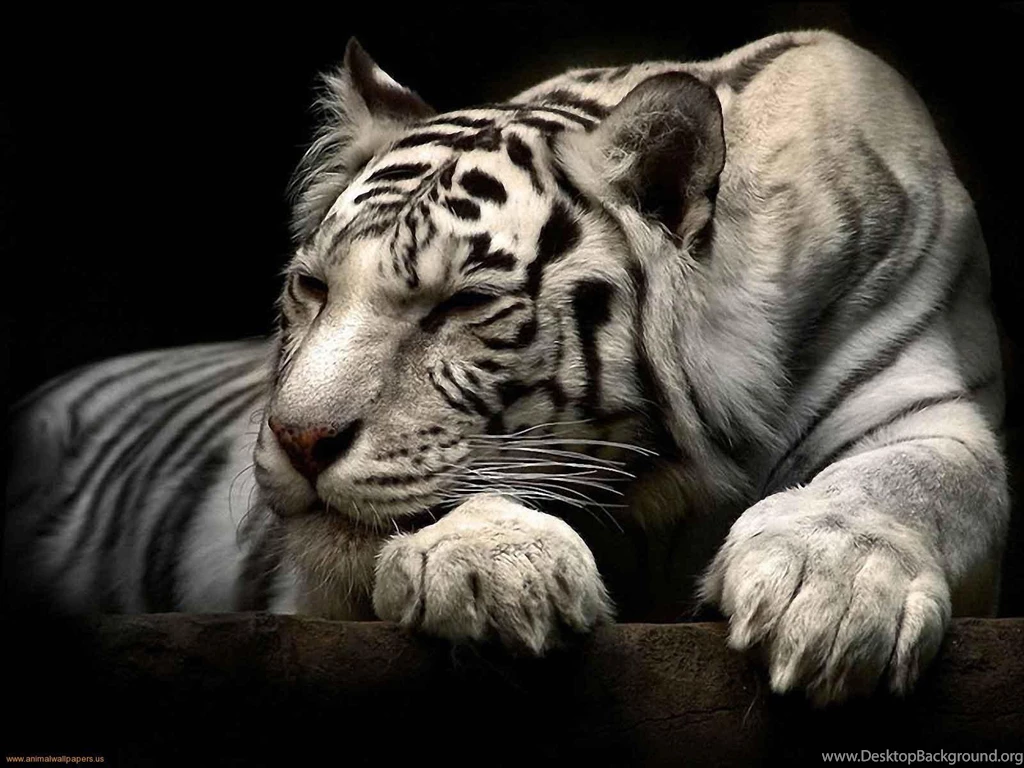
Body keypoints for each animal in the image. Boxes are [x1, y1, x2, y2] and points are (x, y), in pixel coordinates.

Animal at [4, 29, 1008, 707]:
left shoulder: (927, 399)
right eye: (313, 288)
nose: (298, 439)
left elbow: (910, 480)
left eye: (458, 305)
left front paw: (830, 593)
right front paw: (492, 566)